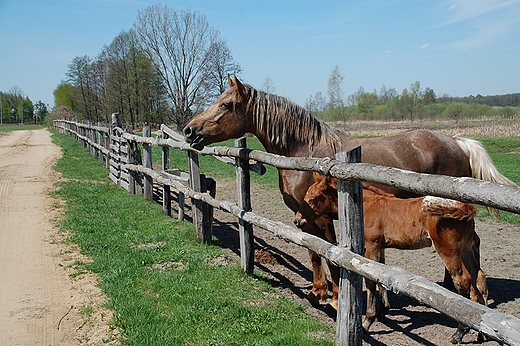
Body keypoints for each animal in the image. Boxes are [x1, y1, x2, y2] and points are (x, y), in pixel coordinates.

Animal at [183, 75, 512, 310]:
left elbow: (330, 255)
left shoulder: (322, 217)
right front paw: (318, 292)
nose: (189, 131)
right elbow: (313, 252)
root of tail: (457, 142)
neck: (303, 152)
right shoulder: (302, 217)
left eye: (225, 105)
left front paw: (336, 295)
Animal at [294, 176, 490, 344]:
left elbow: (370, 280)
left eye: (313, 199)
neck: (367, 205)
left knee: (463, 281)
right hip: (466, 250)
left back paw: (459, 333)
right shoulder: (380, 247)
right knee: (479, 280)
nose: (297, 220)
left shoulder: (371, 246)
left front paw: (367, 323)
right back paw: (481, 334)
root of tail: (465, 207)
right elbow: (380, 274)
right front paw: (383, 311)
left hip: (449, 251)